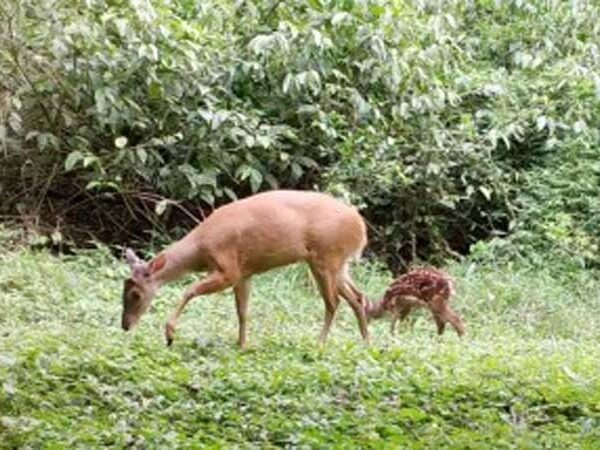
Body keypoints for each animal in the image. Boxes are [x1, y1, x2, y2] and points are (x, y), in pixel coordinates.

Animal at [120, 189, 368, 348]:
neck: (200, 249)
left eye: (135, 294)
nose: (125, 326)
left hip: (325, 257)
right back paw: (366, 342)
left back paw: (319, 344)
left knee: (333, 302)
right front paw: (241, 344)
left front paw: (170, 334)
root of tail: (361, 227)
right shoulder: (244, 273)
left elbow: (189, 290)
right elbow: (242, 311)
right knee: (357, 296)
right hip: (337, 263)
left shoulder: (229, 269)